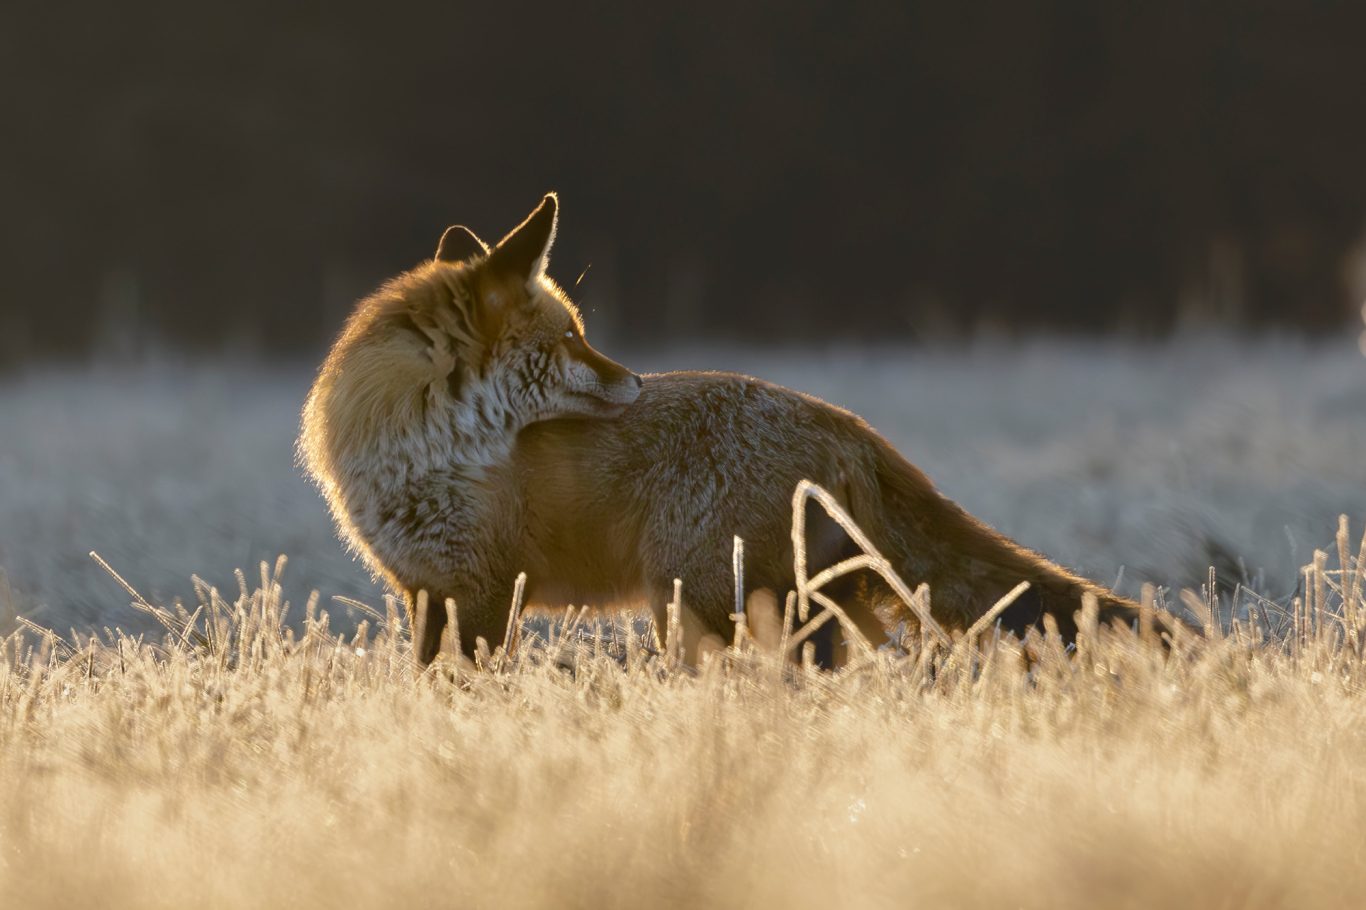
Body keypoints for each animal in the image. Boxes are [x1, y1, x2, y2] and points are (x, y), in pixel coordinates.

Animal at [301, 192, 1152, 666]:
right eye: (572, 340)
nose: (637, 382)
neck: (415, 450)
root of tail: (845, 421)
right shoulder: (427, 591)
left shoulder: (484, 589)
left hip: (702, 605)